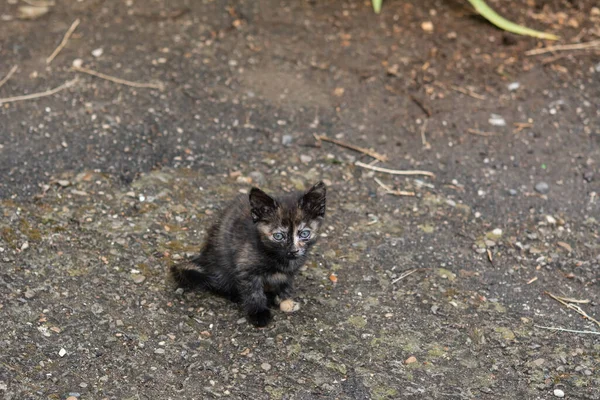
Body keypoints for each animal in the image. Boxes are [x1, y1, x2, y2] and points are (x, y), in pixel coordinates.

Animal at [169, 181, 328, 324]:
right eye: (278, 236)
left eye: (304, 234)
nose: (294, 250)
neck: (278, 257)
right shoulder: (246, 267)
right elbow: (253, 291)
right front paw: (259, 313)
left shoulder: (289, 271)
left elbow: (285, 282)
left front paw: (284, 298)